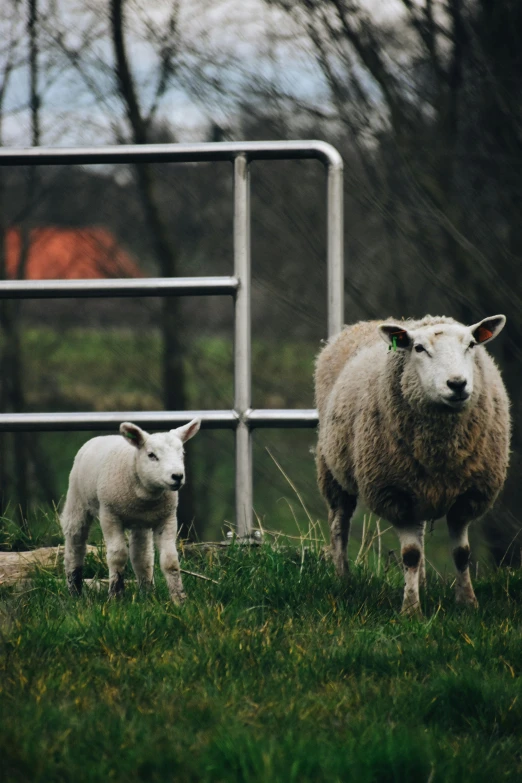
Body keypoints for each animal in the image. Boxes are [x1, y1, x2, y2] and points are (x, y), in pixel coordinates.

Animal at [60, 420, 199, 604]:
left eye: (182, 453)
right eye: (151, 455)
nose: (177, 476)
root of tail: (100, 438)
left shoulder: (167, 517)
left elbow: (170, 560)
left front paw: (179, 600)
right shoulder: (109, 515)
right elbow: (117, 555)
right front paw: (115, 596)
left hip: (140, 524)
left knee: (141, 556)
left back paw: (148, 593)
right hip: (77, 499)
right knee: (75, 543)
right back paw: (74, 591)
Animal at [312, 316, 508, 616]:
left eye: (472, 344)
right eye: (418, 348)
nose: (457, 384)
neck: (441, 452)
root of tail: (367, 323)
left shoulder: (468, 496)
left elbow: (461, 553)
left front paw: (467, 602)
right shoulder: (396, 495)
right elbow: (410, 555)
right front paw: (411, 610)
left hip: (421, 489)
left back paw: (423, 584)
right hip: (332, 468)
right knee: (339, 524)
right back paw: (343, 578)